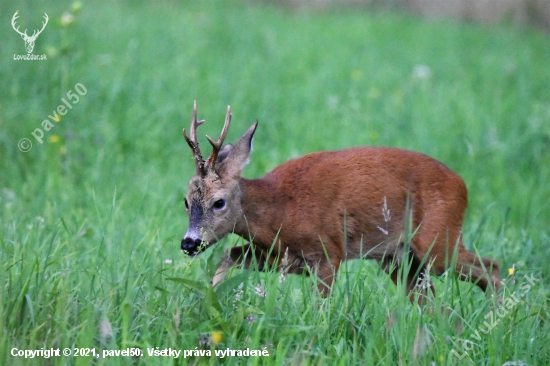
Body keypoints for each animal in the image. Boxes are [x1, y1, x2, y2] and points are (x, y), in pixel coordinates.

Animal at [181, 101, 504, 302]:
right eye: (185, 201)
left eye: (219, 202)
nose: (189, 243)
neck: (280, 209)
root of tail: (462, 185)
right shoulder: (279, 256)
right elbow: (228, 255)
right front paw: (208, 301)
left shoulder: (328, 250)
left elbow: (320, 308)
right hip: (399, 259)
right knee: (432, 302)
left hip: (437, 240)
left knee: (492, 268)